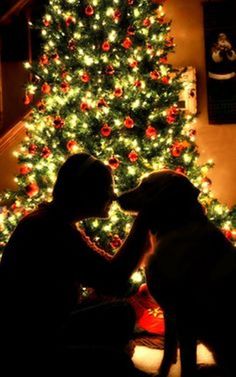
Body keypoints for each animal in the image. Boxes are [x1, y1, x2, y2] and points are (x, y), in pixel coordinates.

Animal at [119, 170, 236, 376]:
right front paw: (162, 370)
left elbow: (187, 363)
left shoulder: (185, 320)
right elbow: (169, 350)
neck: (176, 225)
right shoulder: (170, 312)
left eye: (147, 185)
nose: (117, 198)